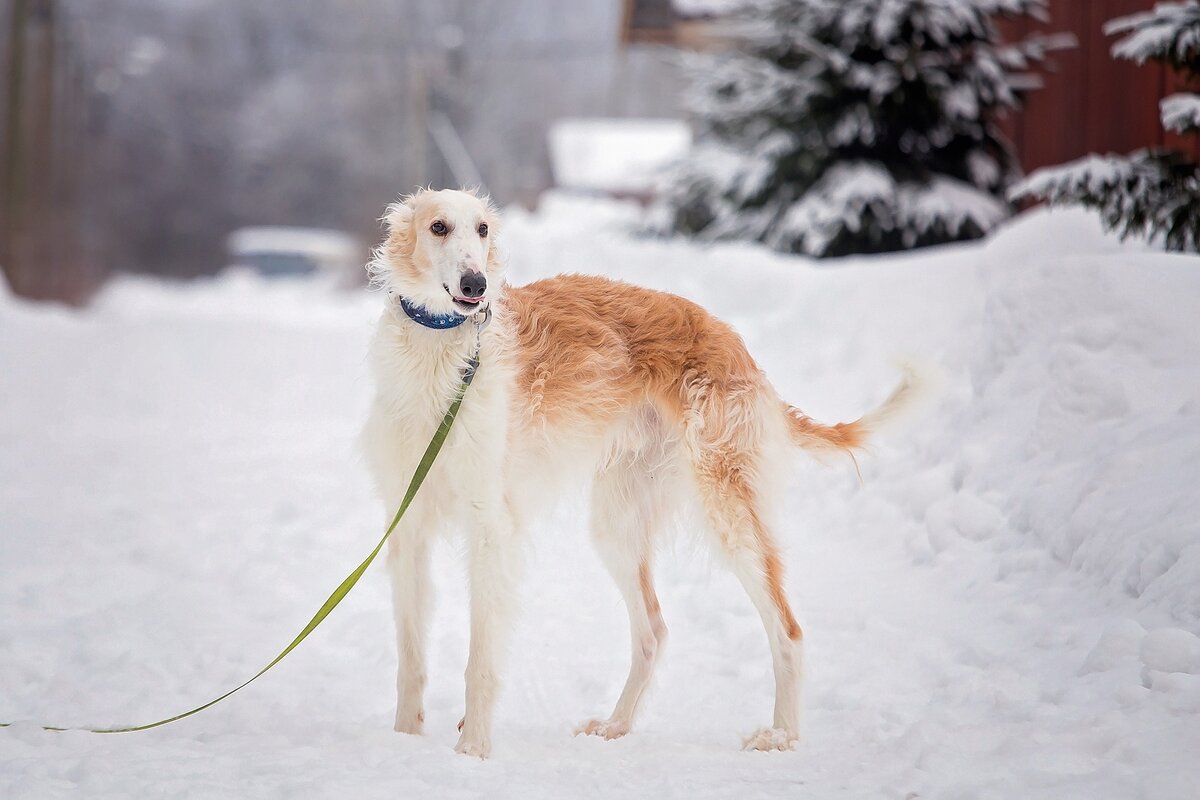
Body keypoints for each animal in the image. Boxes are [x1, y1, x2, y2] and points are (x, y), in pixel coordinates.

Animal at [360, 185, 912, 758]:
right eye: (438, 226)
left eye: (483, 229)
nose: (476, 284)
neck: (441, 358)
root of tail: (741, 353)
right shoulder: (407, 524)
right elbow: (410, 657)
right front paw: (403, 739)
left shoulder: (491, 526)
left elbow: (480, 660)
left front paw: (473, 751)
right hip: (618, 522)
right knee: (653, 629)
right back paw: (615, 725)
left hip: (727, 508)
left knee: (788, 630)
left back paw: (781, 734)